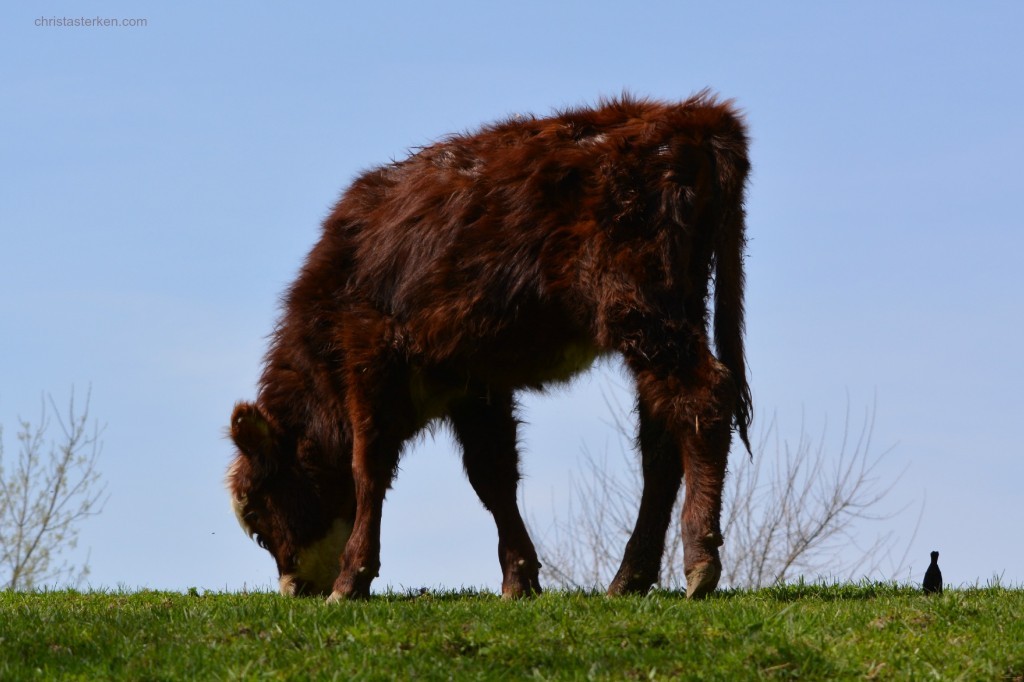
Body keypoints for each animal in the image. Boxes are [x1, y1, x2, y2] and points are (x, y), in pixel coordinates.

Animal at [226, 91, 753, 602]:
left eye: (260, 517)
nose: (294, 589)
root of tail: (693, 116)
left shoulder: (372, 356)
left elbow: (368, 467)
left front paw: (351, 578)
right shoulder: (472, 382)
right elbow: (493, 476)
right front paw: (519, 578)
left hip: (641, 310)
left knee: (703, 397)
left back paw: (699, 561)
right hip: (671, 313)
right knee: (662, 438)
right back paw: (630, 577)